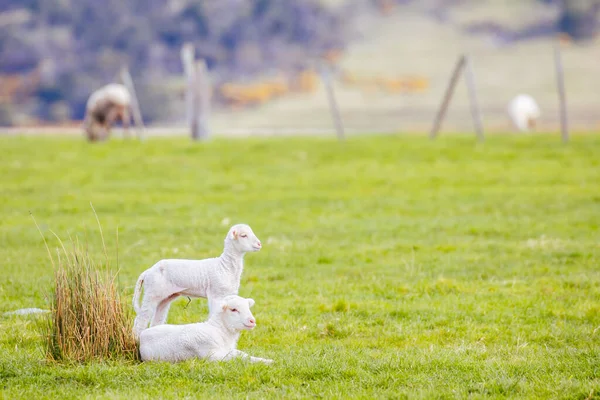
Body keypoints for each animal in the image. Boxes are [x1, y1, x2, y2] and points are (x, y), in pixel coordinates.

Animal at [132, 223, 262, 340]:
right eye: (243, 235)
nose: (259, 244)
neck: (224, 266)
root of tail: (147, 271)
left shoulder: (228, 295)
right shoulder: (216, 295)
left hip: (165, 297)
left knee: (156, 319)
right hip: (152, 293)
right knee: (141, 319)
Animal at [138, 292, 272, 364]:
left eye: (248, 308)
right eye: (233, 309)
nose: (252, 321)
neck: (219, 330)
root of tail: (143, 334)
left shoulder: (228, 349)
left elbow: (242, 354)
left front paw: (266, 361)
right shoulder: (212, 356)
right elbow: (236, 358)